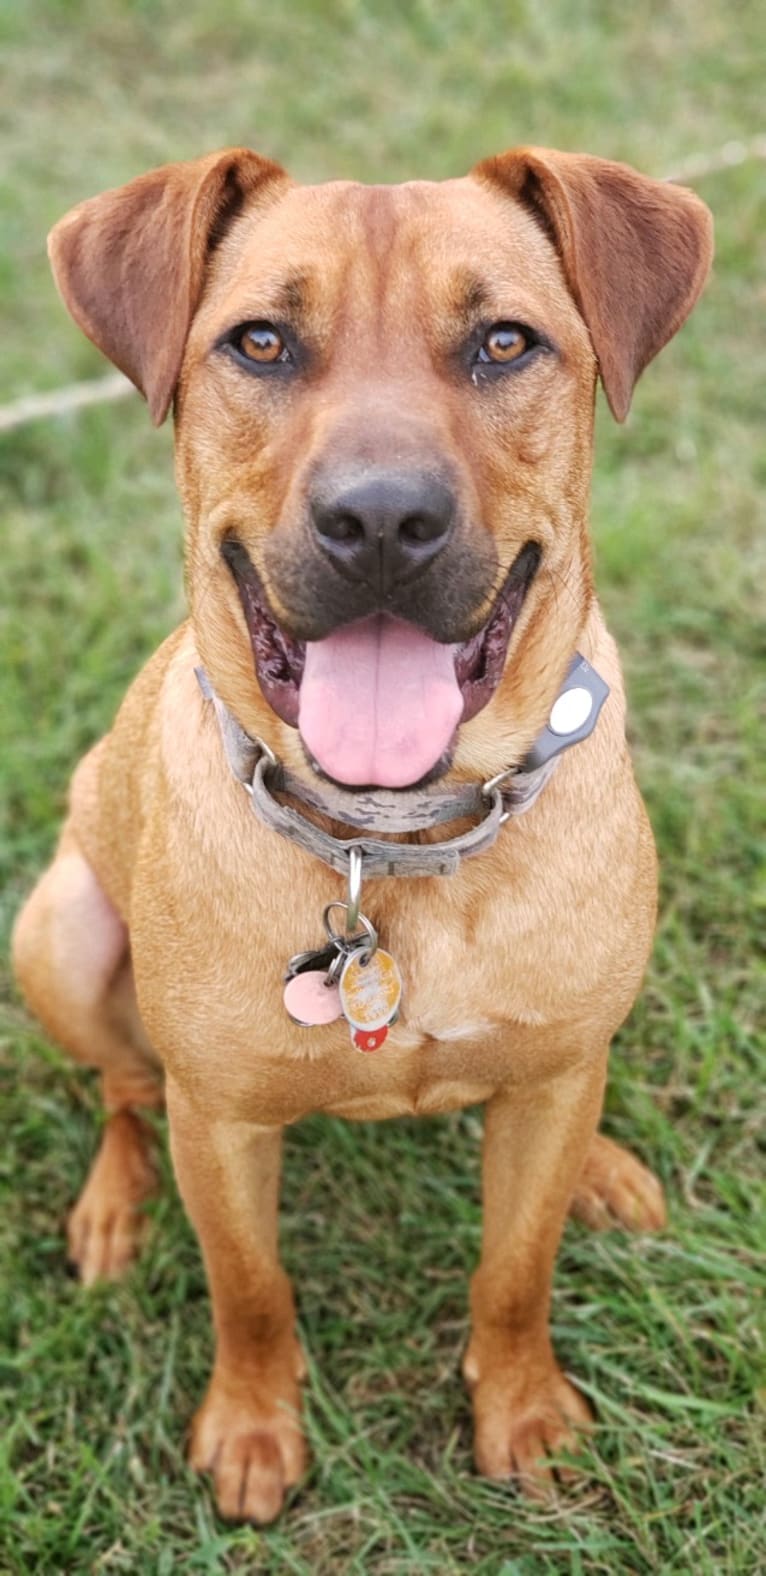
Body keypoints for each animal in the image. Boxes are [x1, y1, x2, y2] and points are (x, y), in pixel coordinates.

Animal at [13, 144, 712, 1512]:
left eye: (503, 341)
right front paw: (252, 1427)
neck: (394, 843)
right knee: (123, 1083)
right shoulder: (221, 1123)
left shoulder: (546, 1089)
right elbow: (250, 1289)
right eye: (261, 341)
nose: (382, 520)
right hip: (58, 930)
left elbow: (514, 1268)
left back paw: (603, 1168)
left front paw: (524, 1410)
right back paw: (115, 1206)